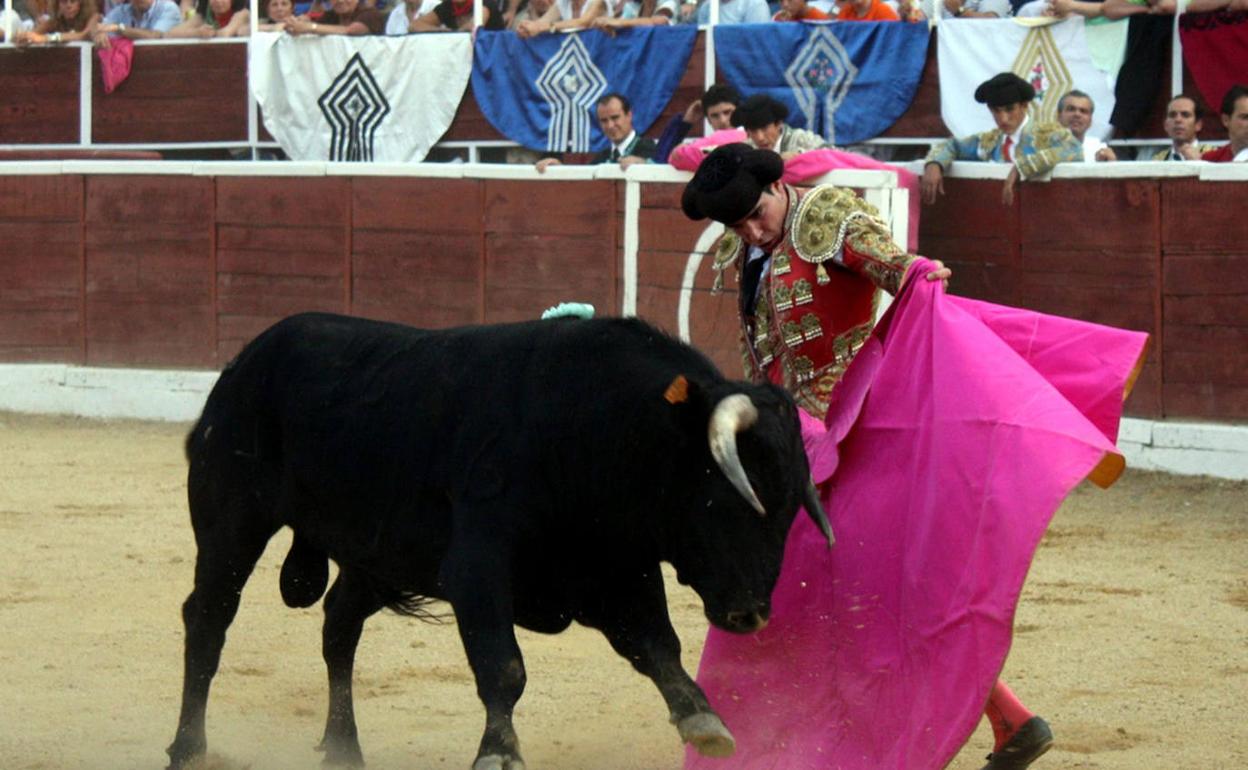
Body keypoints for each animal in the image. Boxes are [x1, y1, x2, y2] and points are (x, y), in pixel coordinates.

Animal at [165, 311, 828, 768]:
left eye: (790, 508)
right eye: (726, 498)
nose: (750, 614)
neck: (594, 426)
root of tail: (248, 359)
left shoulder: (616, 570)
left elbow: (657, 647)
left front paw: (703, 720)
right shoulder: (478, 568)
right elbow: (504, 666)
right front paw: (498, 751)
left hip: (378, 557)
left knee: (338, 624)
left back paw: (343, 747)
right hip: (232, 521)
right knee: (210, 617)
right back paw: (190, 746)